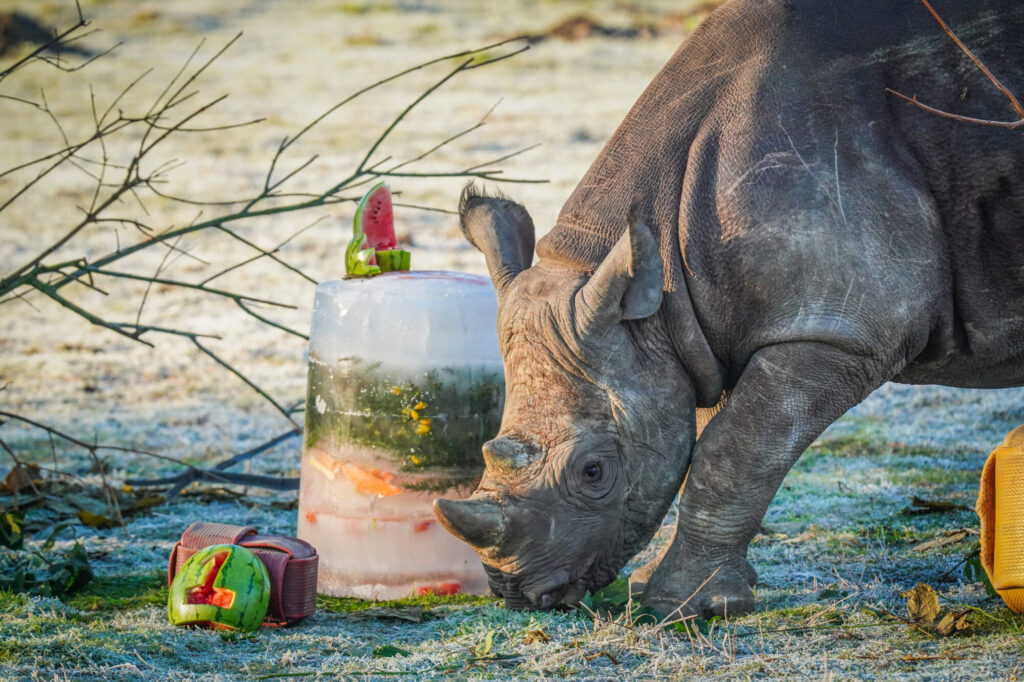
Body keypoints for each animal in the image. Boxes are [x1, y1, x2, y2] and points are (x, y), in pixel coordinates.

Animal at [433, 0, 1024, 617]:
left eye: (594, 472)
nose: (516, 592)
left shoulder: (836, 330)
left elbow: (730, 452)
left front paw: (682, 604)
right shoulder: (704, 335)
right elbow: (716, 445)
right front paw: (687, 593)